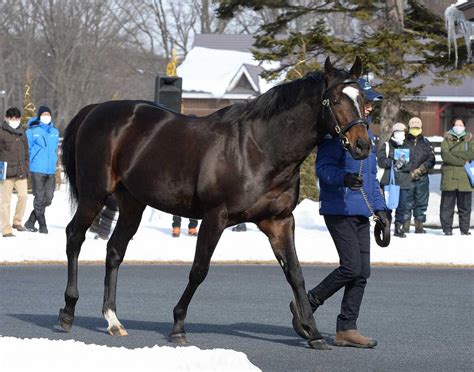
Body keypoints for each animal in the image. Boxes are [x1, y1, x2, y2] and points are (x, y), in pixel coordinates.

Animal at [58, 56, 370, 350]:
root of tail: (95, 110)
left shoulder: (279, 221)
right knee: (74, 237)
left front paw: (313, 333)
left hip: (133, 203)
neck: (259, 148)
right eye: (337, 100)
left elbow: (295, 274)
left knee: (114, 250)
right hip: (94, 194)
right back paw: (68, 311)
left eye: (363, 100)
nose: (363, 145)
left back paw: (112, 319)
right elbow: (199, 270)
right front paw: (178, 325)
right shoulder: (215, 217)